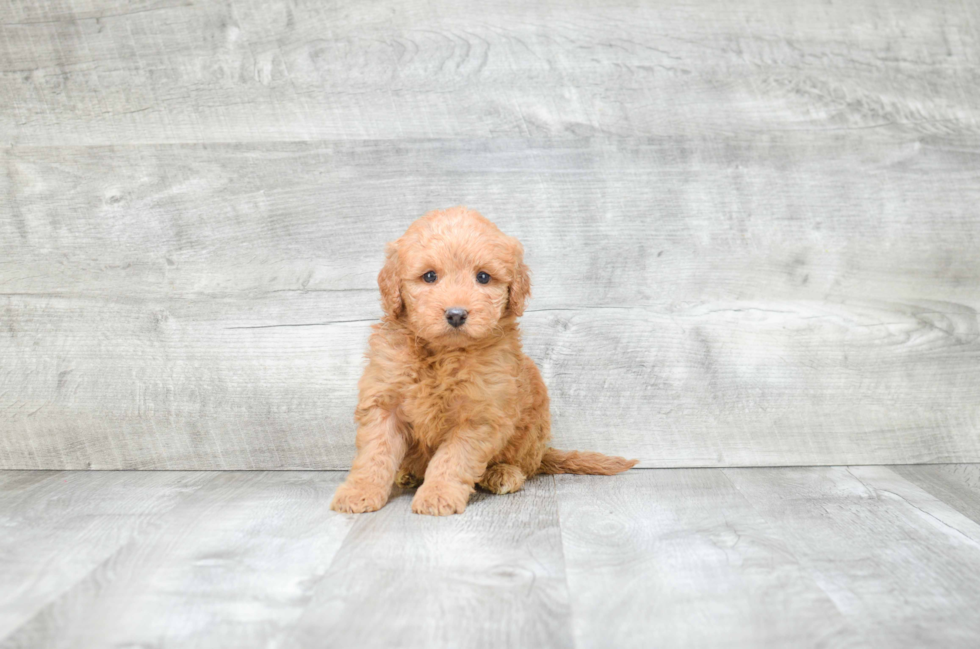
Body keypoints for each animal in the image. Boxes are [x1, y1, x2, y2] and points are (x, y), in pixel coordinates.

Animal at [332, 205, 636, 512]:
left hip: (530, 430)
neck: (444, 355)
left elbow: (453, 458)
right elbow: (375, 453)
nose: (456, 314)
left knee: (523, 466)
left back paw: (502, 474)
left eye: (483, 277)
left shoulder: (480, 414)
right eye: (429, 277)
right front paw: (360, 492)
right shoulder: (385, 401)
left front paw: (438, 494)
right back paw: (408, 473)